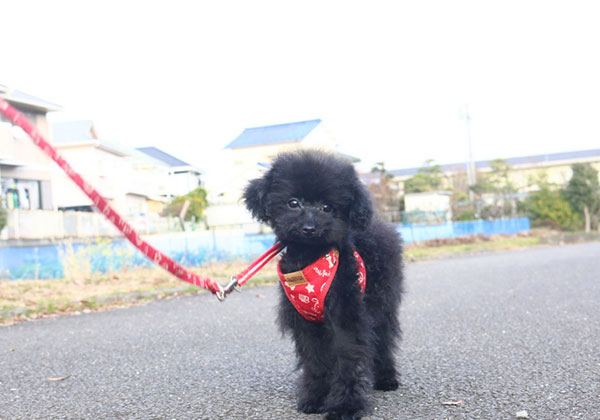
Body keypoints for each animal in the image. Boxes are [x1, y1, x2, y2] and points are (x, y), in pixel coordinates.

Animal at [243, 149, 404, 418]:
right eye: (293, 203)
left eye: (327, 207)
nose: (309, 228)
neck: (309, 258)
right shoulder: (305, 321)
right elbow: (315, 360)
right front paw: (315, 398)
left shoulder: (345, 315)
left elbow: (348, 357)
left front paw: (346, 406)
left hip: (382, 302)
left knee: (383, 339)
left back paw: (386, 378)